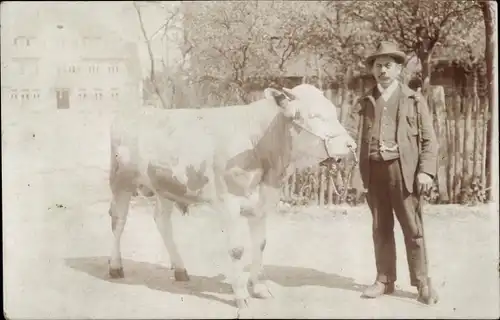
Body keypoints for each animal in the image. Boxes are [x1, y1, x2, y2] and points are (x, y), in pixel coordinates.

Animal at [106, 84, 356, 314]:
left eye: (333, 112)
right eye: (314, 115)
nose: (351, 145)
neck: (260, 145)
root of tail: (139, 111)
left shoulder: (262, 204)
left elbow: (260, 244)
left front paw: (259, 288)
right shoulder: (230, 203)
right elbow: (237, 250)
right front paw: (241, 296)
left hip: (165, 185)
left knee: (162, 221)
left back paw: (180, 269)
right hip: (121, 181)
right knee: (118, 221)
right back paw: (116, 266)